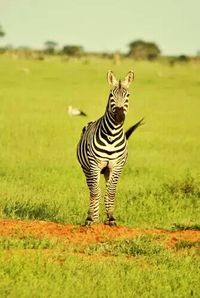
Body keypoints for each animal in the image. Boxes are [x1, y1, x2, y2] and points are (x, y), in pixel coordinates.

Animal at [77, 70, 144, 226]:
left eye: (128, 95)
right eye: (111, 95)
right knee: (92, 189)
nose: (119, 117)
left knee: (106, 189)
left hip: (108, 171)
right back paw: (93, 217)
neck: (112, 135)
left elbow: (111, 191)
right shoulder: (94, 164)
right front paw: (91, 219)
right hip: (87, 169)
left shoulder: (117, 166)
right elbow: (95, 191)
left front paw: (111, 218)